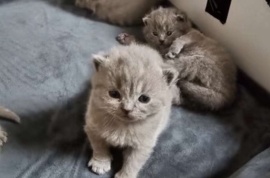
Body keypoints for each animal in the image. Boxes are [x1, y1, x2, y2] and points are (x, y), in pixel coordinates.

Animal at [84, 43, 177, 178]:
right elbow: (99, 147)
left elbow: (133, 161)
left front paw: (125, 175)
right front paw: (100, 163)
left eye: (144, 99)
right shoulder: (92, 127)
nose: (127, 109)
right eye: (113, 94)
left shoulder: (143, 144)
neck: (121, 126)